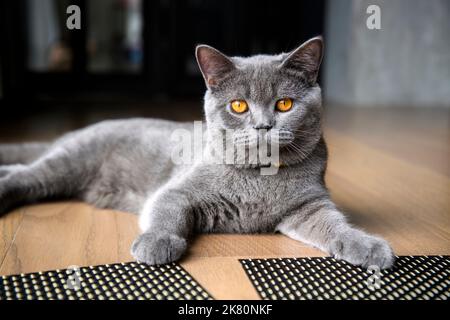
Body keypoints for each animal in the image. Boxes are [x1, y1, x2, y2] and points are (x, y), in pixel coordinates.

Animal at [0, 36, 394, 268]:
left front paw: (368, 247)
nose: (263, 125)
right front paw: (157, 243)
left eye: (284, 104)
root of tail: (76, 131)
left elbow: (333, 224)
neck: (260, 177)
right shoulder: (177, 190)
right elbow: (167, 210)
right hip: (70, 162)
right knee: (27, 174)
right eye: (238, 106)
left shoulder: (307, 206)